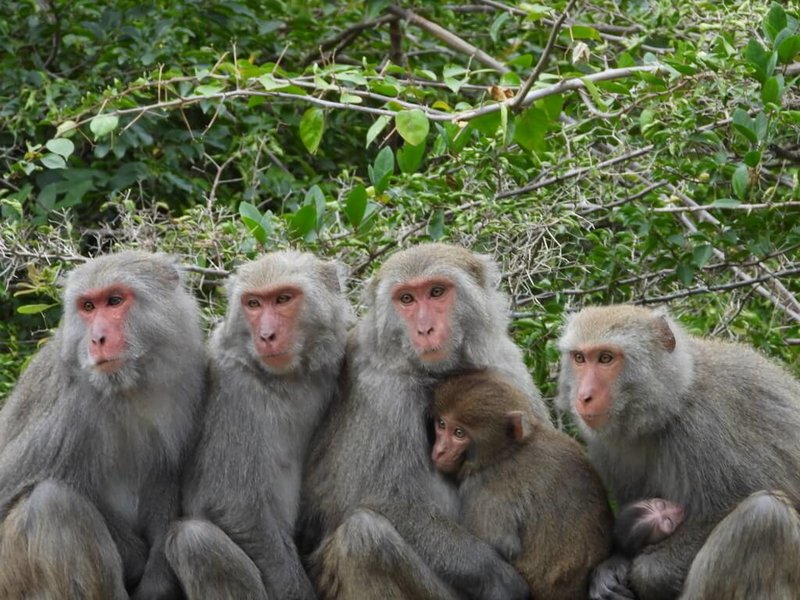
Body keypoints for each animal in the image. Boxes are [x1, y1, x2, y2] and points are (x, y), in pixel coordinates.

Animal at [432, 368, 612, 596]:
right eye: (442, 424)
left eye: (459, 433)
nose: (440, 451)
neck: (509, 450)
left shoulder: (484, 486)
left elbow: (501, 545)